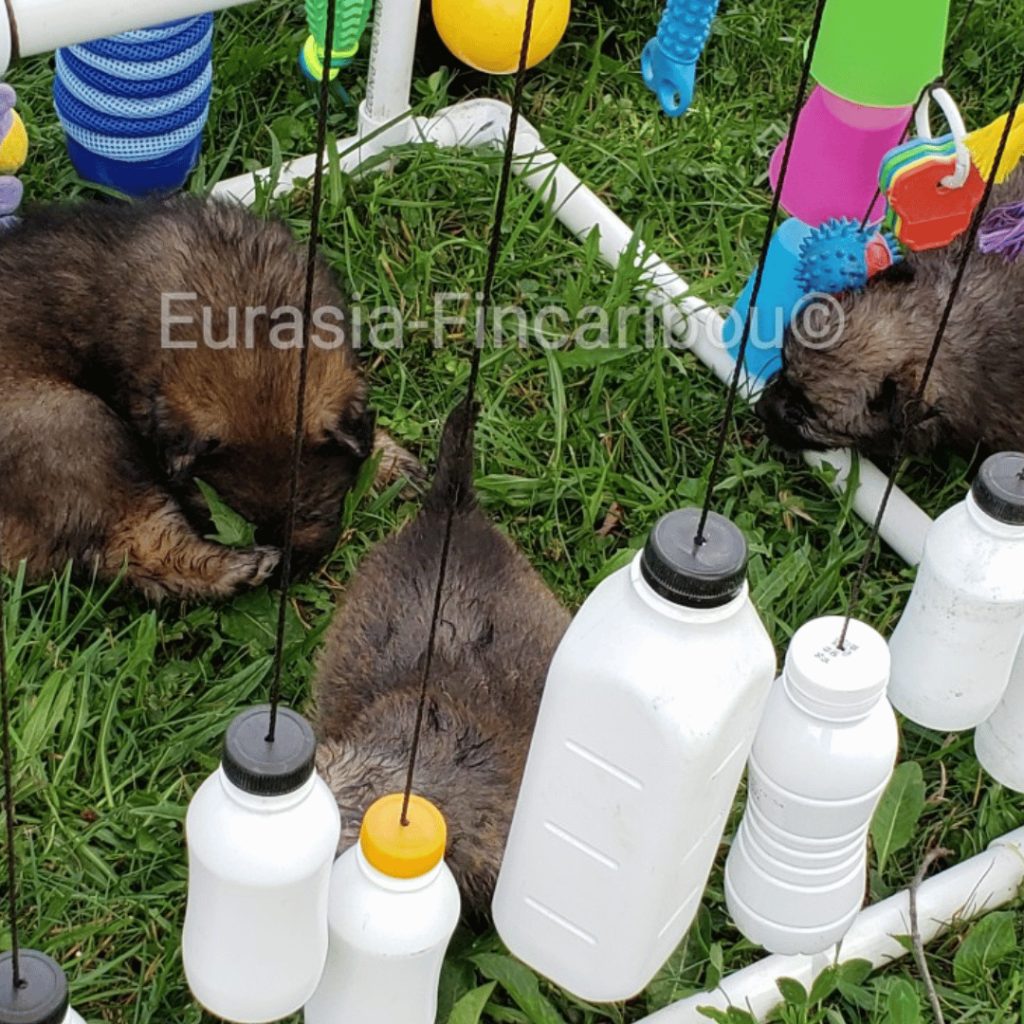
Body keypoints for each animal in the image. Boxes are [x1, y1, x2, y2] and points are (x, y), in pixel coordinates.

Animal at [0, 193, 419, 598]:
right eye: (227, 518)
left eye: (312, 513)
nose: (288, 576)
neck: (249, 310)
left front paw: (389, 460)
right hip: (70, 429)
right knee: (135, 541)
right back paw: (238, 568)